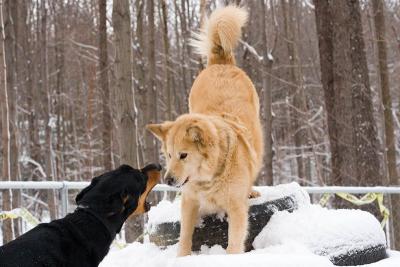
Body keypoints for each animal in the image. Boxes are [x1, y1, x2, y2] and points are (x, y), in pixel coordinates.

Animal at [147, 5, 262, 258]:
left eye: (183, 155)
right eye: (169, 155)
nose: (167, 180)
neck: (210, 177)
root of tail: (221, 63)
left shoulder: (236, 209)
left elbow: (234, 243)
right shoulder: (189, 201)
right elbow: (184, 237)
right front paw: (182, 258)